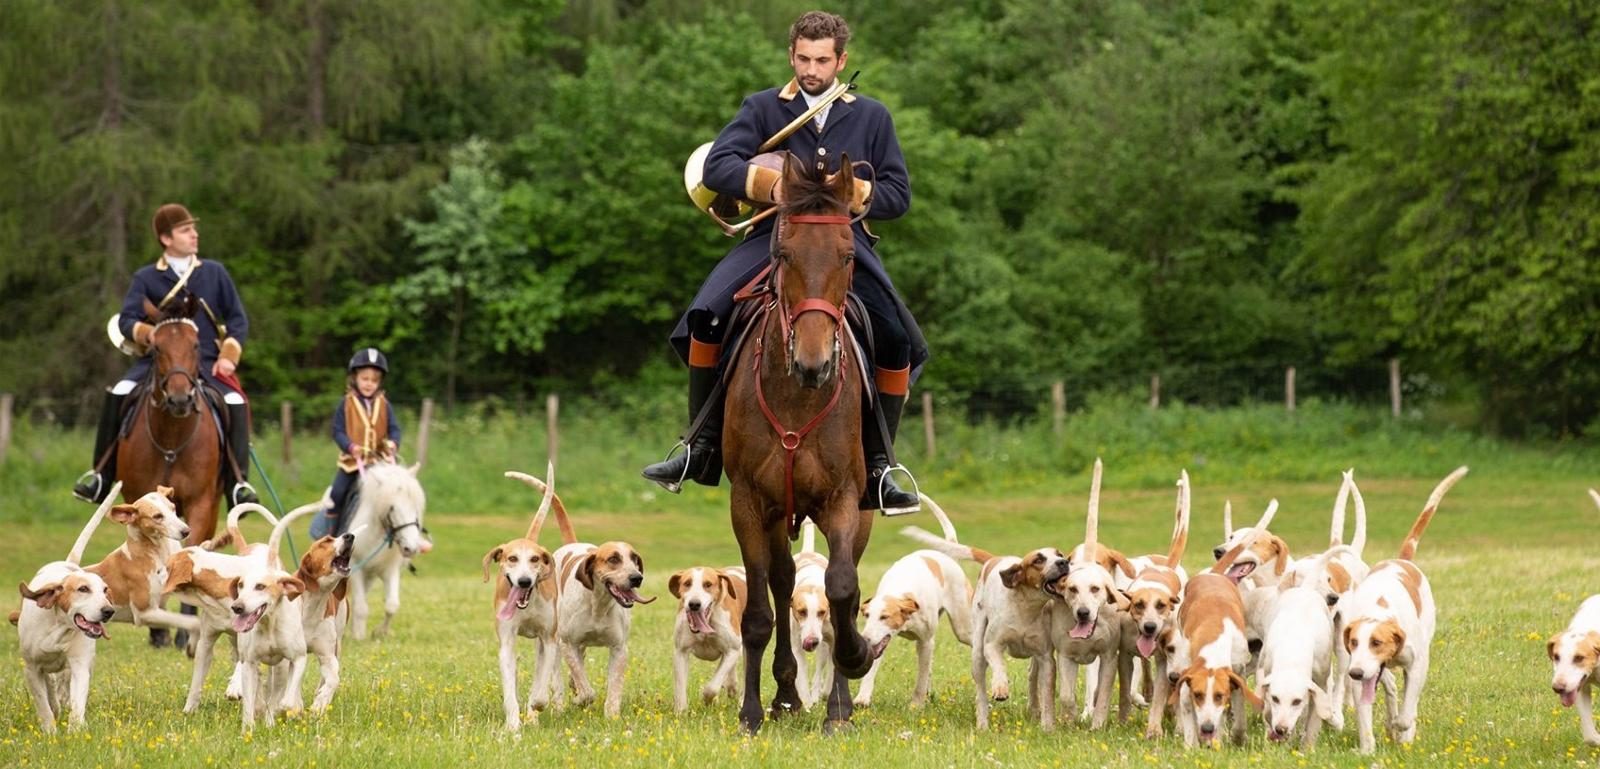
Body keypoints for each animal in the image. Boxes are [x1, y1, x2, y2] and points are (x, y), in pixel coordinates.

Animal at [116, 294, 225, 642]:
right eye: (156, 347)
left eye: (195, 344)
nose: (179, 399)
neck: (171, 440)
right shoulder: (138, 497)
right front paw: (158, 631)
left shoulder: (201, 503)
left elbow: (190, 551)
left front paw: (183, 632)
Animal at [726, 151, 876, 732]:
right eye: (784, 253)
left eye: (848, 255)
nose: (814, 365)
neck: (798, 398)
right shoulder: (747, 503)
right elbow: (757, 612)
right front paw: (750, 711)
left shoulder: (843, 500)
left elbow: (841, 588)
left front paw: (852, 667)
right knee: (783, 581)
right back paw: (786, 692)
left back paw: (837, 697)